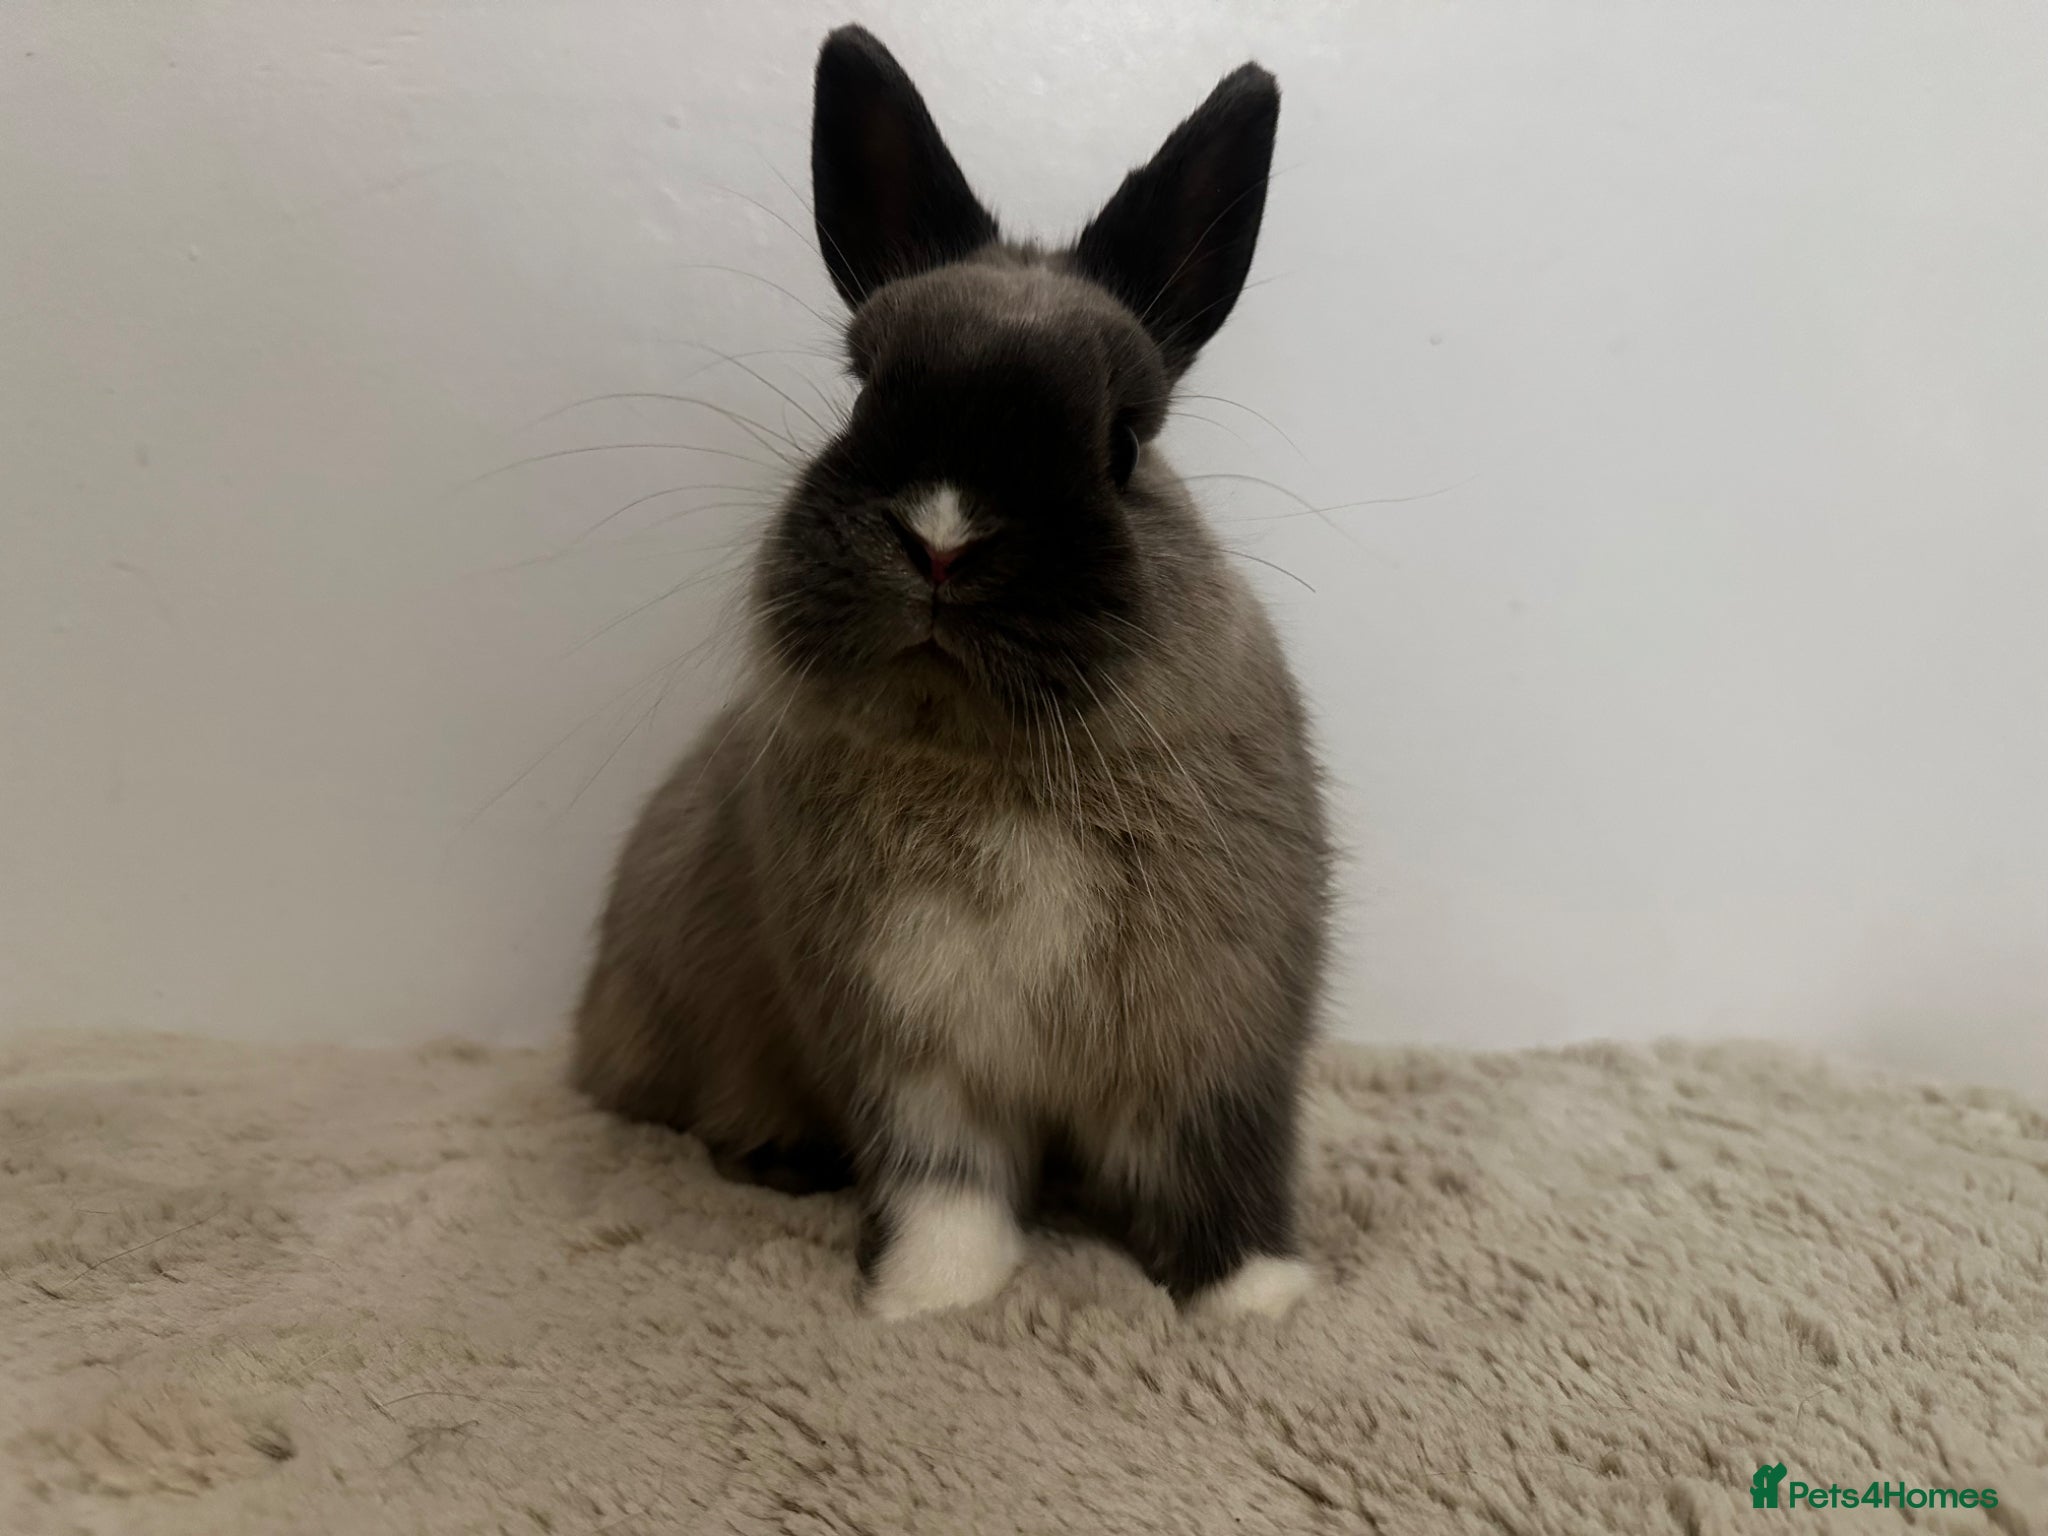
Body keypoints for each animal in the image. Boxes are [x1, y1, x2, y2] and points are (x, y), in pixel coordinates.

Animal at [573, 24, 1331, 1322]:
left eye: (1123, 443)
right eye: (862, 390)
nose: (940, 539)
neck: (989, 763)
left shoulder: (1214, 1038)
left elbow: (1214, 1167)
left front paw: (1255, 1306)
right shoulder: (901, 1045)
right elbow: (943, 1178)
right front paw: (931, 1300)